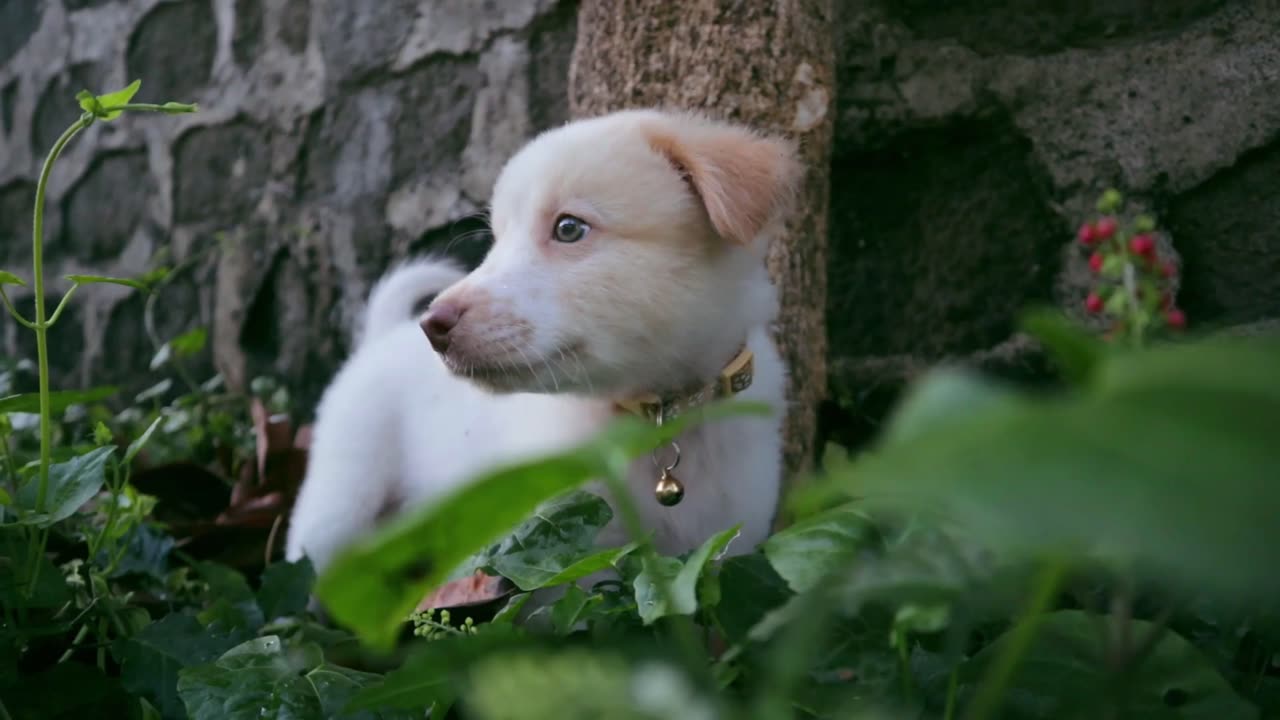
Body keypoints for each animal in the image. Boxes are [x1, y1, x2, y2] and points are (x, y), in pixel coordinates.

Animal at [288, 107, 798, 576]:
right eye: (496, 239)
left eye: (568, 228)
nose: (433, 324)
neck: (656, 415)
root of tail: (380, 337)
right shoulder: (576, 555)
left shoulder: (728, 540)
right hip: (338, 501)